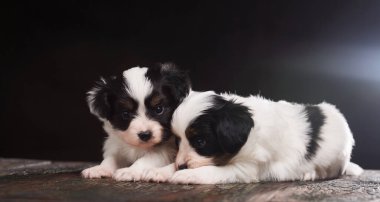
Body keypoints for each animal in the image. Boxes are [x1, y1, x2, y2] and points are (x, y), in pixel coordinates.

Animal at [145, 90, 362, 184]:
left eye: (200, 141)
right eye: (178, 141)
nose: (181, 166)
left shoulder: (246, 168)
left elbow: (212, 171)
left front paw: (186, 174)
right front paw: (161, 170)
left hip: (337, 158)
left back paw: (309, 174)